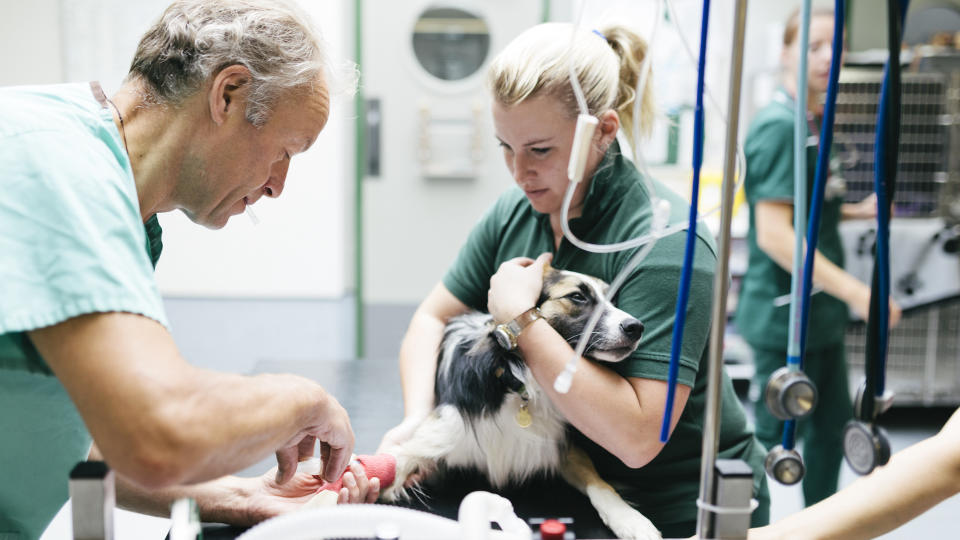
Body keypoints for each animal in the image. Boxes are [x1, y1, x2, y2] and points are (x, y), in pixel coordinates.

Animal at [380, 266, 660, 540]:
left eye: (613, 300)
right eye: (577, 297)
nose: (636, 327)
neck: (520, 381)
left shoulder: (561, 443)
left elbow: (600, 483)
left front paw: (630, 519)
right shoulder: (439, 432)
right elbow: (396, 462)